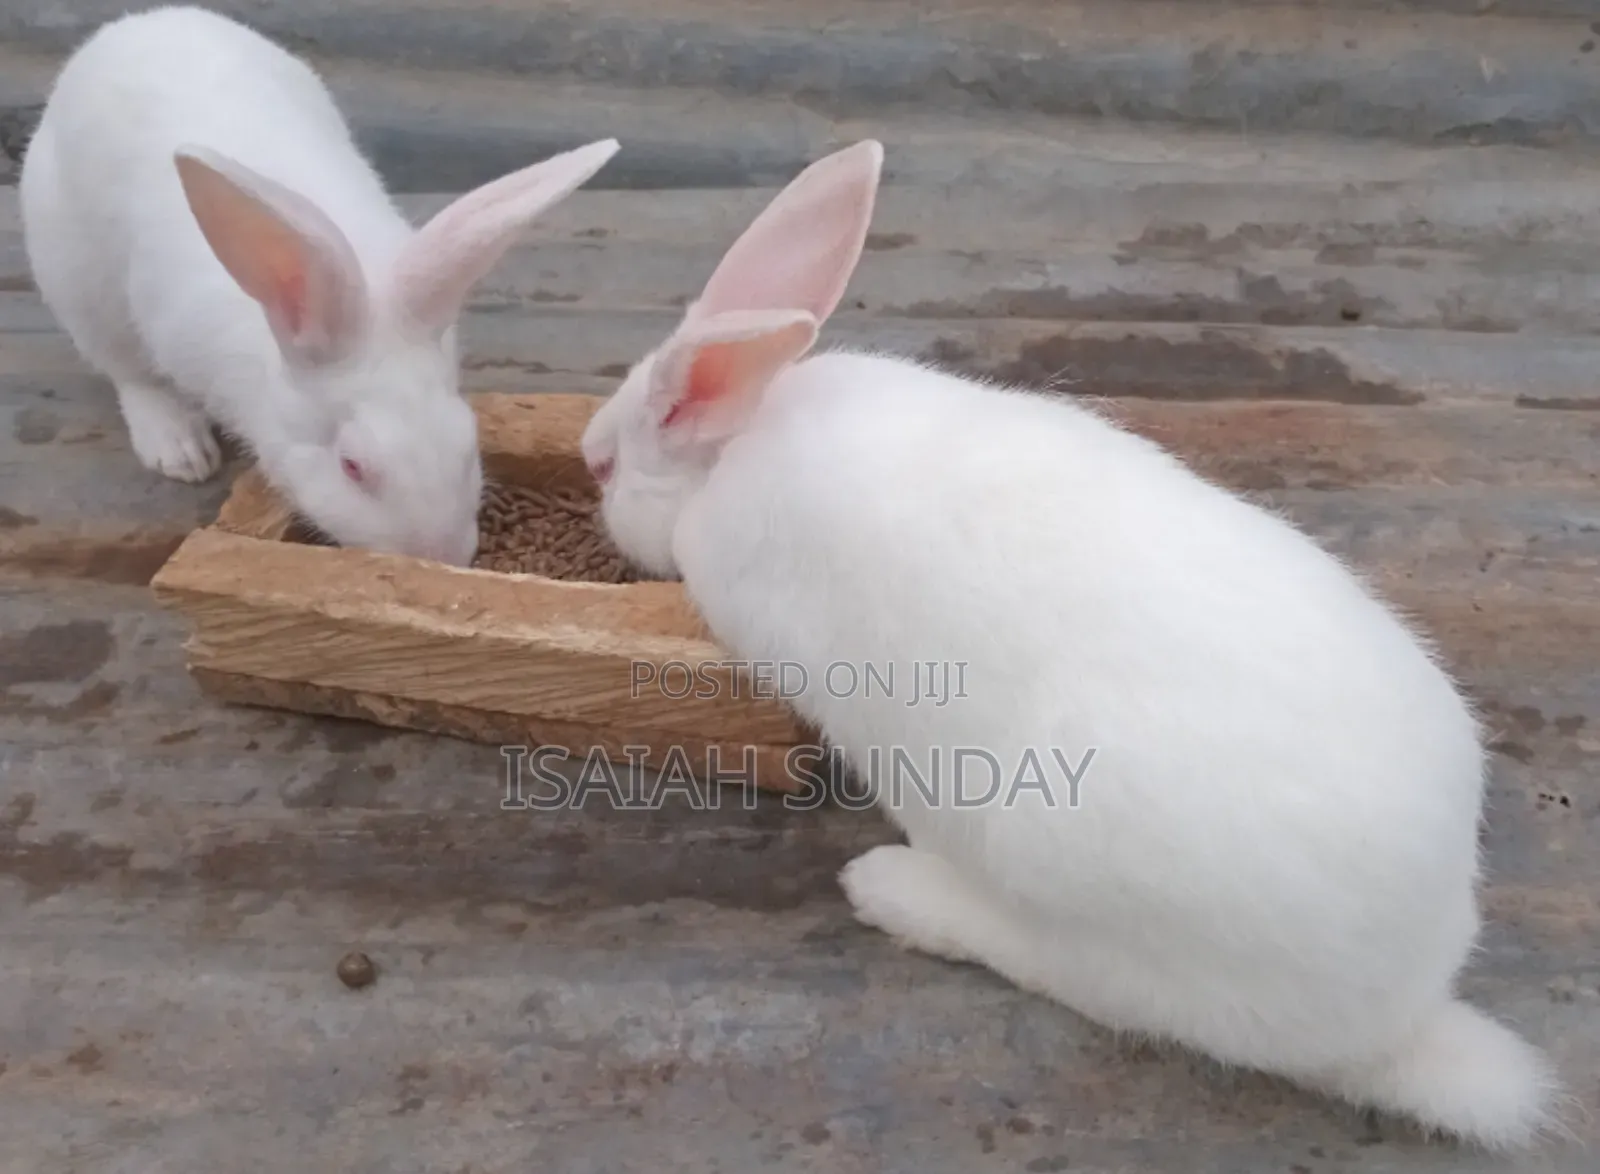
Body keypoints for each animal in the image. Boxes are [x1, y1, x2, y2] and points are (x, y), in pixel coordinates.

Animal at [19, 5, 618, 566]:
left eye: (467, 446)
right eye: (352, 467)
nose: (440, 555)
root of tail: (140, 22)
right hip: (77, 281)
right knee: (127, 371)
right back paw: (181, 451)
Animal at [579, 140, 1561, 1149]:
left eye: (609, 467)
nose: (585, 453)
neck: (732, 449)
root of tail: (1400, 1007)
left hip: (1060, 860)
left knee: (1080, 973)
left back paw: (895, 891)